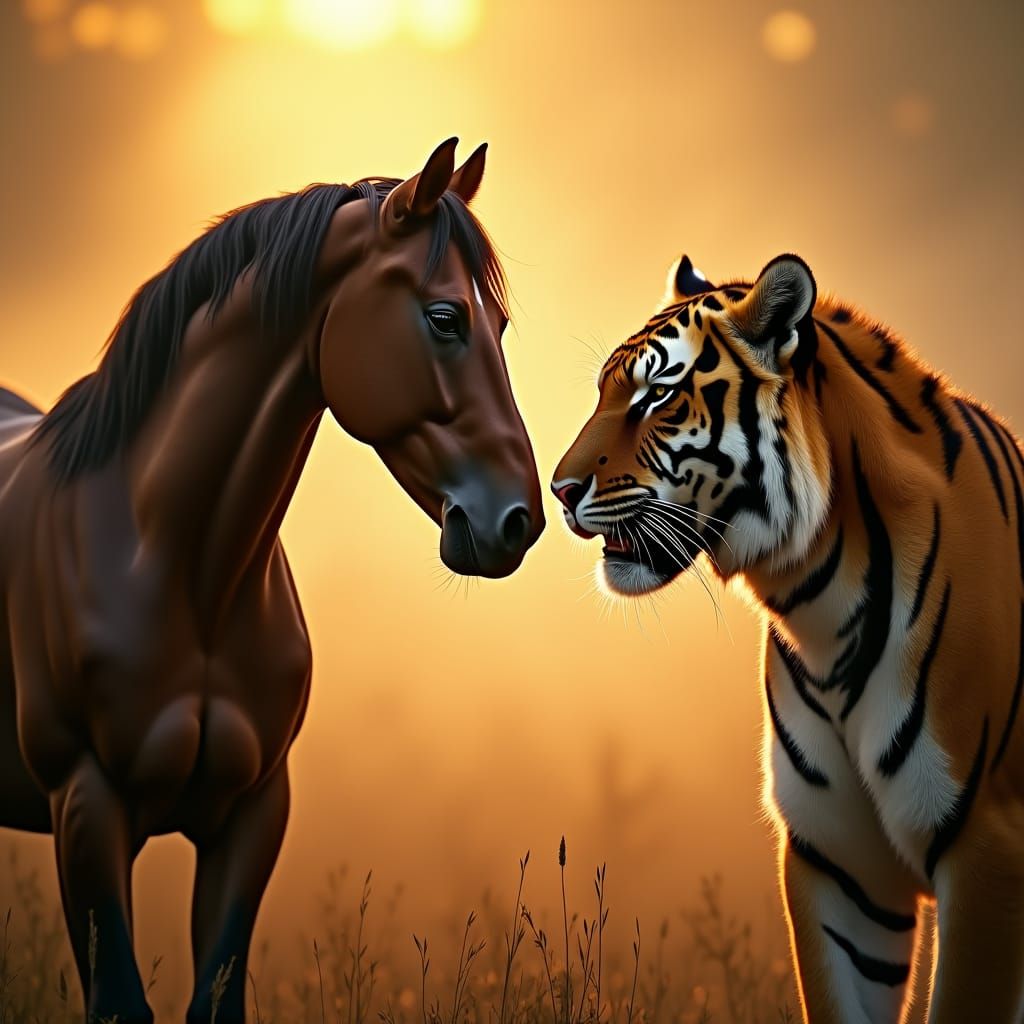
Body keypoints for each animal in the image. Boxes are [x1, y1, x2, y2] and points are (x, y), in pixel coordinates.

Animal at [0, 138, 544, 1022]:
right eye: (445, 318)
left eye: (495, 322)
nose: (520, 520)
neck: (185, 573)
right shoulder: (85, 804)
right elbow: (119, 1001)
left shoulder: (253, 814)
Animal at [552, 253, 1024, 1023]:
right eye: (604, 393)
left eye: (659, 395)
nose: (559, 491)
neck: (822, 602)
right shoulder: (835, 859)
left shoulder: (987, 839)